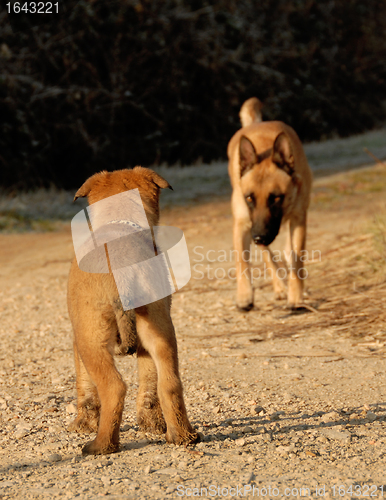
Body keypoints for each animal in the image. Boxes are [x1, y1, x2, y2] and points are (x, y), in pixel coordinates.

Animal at [66, 167, 198, 454]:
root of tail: (122, 272)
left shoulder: (77, 338)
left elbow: (85, 387)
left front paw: (83, 423)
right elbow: (149, 381)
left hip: (91, 339)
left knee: (113, 387)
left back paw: (101, 445)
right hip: (159, 330)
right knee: (169, 384)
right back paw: (182, 436)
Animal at [228, 95, 312, 310]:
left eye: (275, 198)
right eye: (249, 198)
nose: (258, 237)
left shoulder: (298, 219)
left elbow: (297, 258)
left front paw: (296, 296)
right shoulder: (243, 224)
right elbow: (241, 261)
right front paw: (244, 296)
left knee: (287, 251)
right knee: (268, 255)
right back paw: (279, 286)